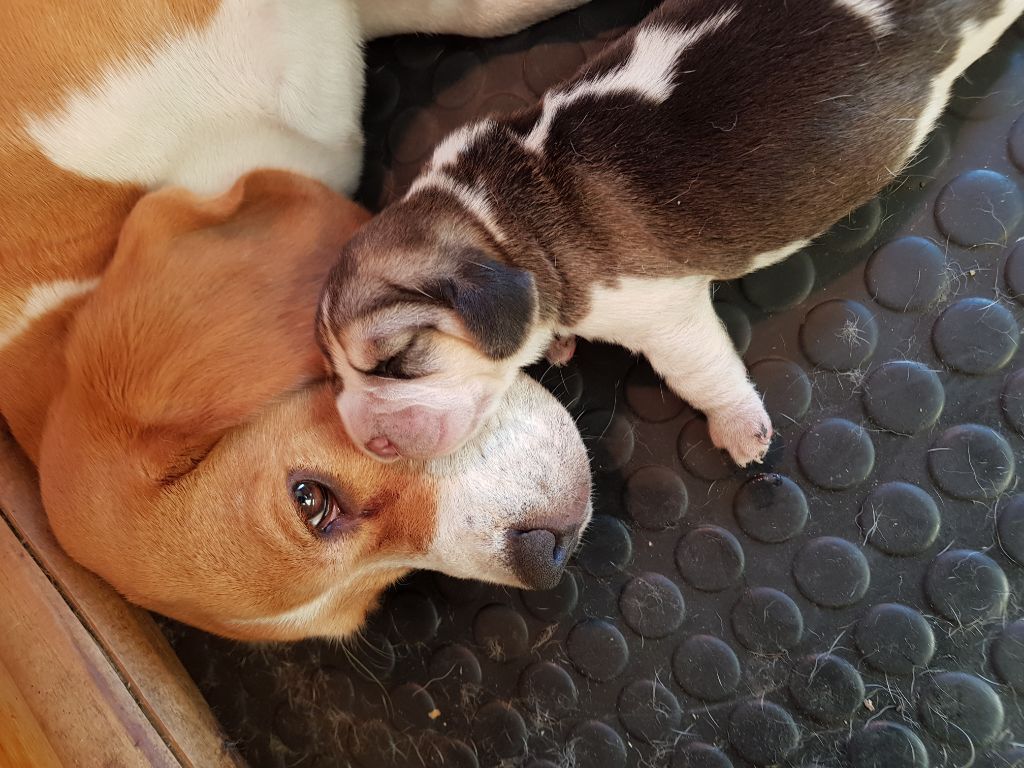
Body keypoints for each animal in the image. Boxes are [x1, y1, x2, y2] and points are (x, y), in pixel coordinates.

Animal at [317, 0, 1024, 468]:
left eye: (397, 360)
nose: (364, 442)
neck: (499, 212)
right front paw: (559, 343)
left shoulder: (662, 316)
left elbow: (701, 372)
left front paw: (738, 427)